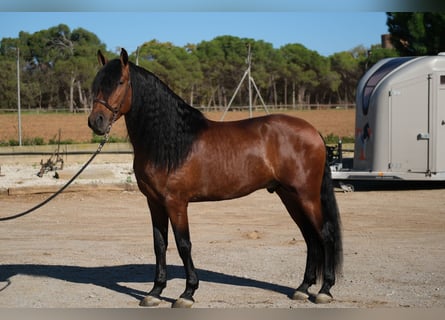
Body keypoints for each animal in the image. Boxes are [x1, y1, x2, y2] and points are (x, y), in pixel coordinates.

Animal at [87, 48, 344, 308]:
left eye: (120, 82)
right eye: (96, 83)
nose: (96, 121)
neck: (171, 142)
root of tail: (313, 132)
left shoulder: (176, 203)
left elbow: (183, 244)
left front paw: (187, 293)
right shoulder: (154, 202)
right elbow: (160, 244)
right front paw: (155, 291)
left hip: (307, 196)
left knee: (325, 234)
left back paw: (325, 290)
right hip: (289, 196)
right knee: (310, 237)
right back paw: (303, 288)